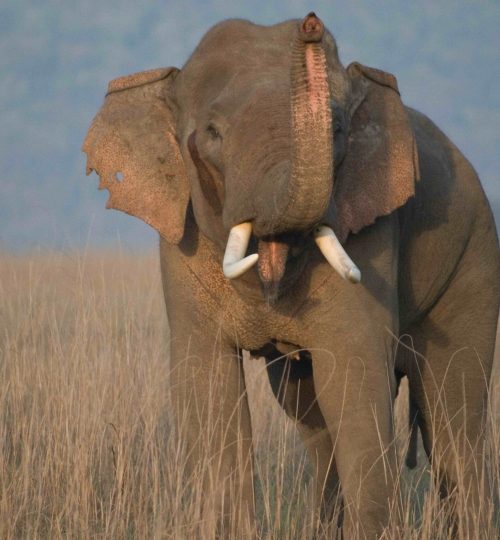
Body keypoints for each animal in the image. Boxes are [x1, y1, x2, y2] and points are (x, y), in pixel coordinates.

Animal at [83, 12, 500, 540]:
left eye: (339, 129)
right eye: (213, 132)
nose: (310, 24)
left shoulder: (370, 228)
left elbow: (354, 378)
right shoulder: (181, 240)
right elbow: (209, 386)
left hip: (474, 258)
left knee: (454, 416)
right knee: (314, 420)